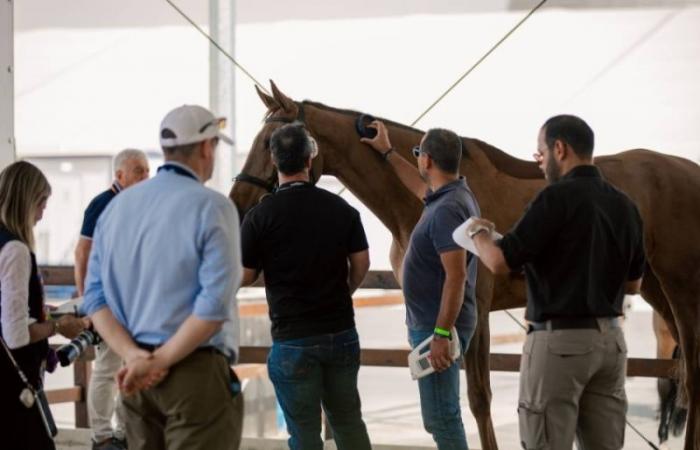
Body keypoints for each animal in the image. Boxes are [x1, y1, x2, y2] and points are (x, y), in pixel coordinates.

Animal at [231, 81, 700, 450]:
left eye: (270, 145)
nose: (237, 206)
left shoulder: (474, 308)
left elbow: (478, 397)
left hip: (682, 290)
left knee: (693, 374)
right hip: (655, 287)